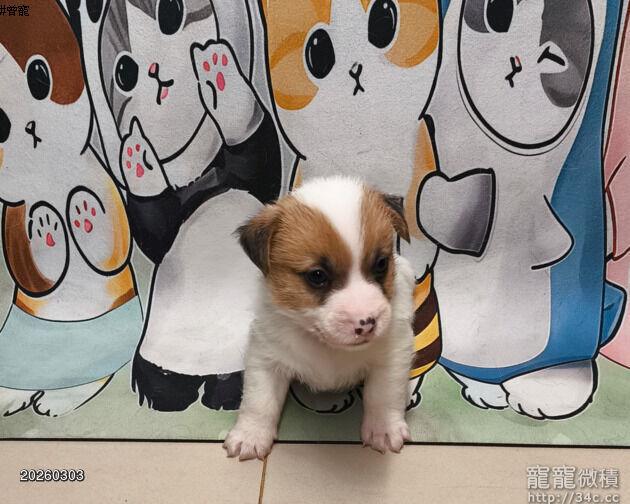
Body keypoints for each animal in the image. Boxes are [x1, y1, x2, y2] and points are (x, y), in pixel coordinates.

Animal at [0, 0, 142, 418]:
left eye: (39, 76)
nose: (30, 128)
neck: (49, 174)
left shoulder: (103, 183)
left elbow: (113, 246)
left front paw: (82, 213)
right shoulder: (13, 214)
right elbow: (32, 271)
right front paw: (48, 225)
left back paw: (56, 399)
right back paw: (14, 395)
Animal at [225, 176, 416, 460]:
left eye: (381, 264)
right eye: (317, 276)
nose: (367, 323)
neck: (327, 347)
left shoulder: (392, 354)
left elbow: (383, 395)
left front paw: (383, 429)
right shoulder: (265, 357)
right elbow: (259, 400)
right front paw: (251, 435)